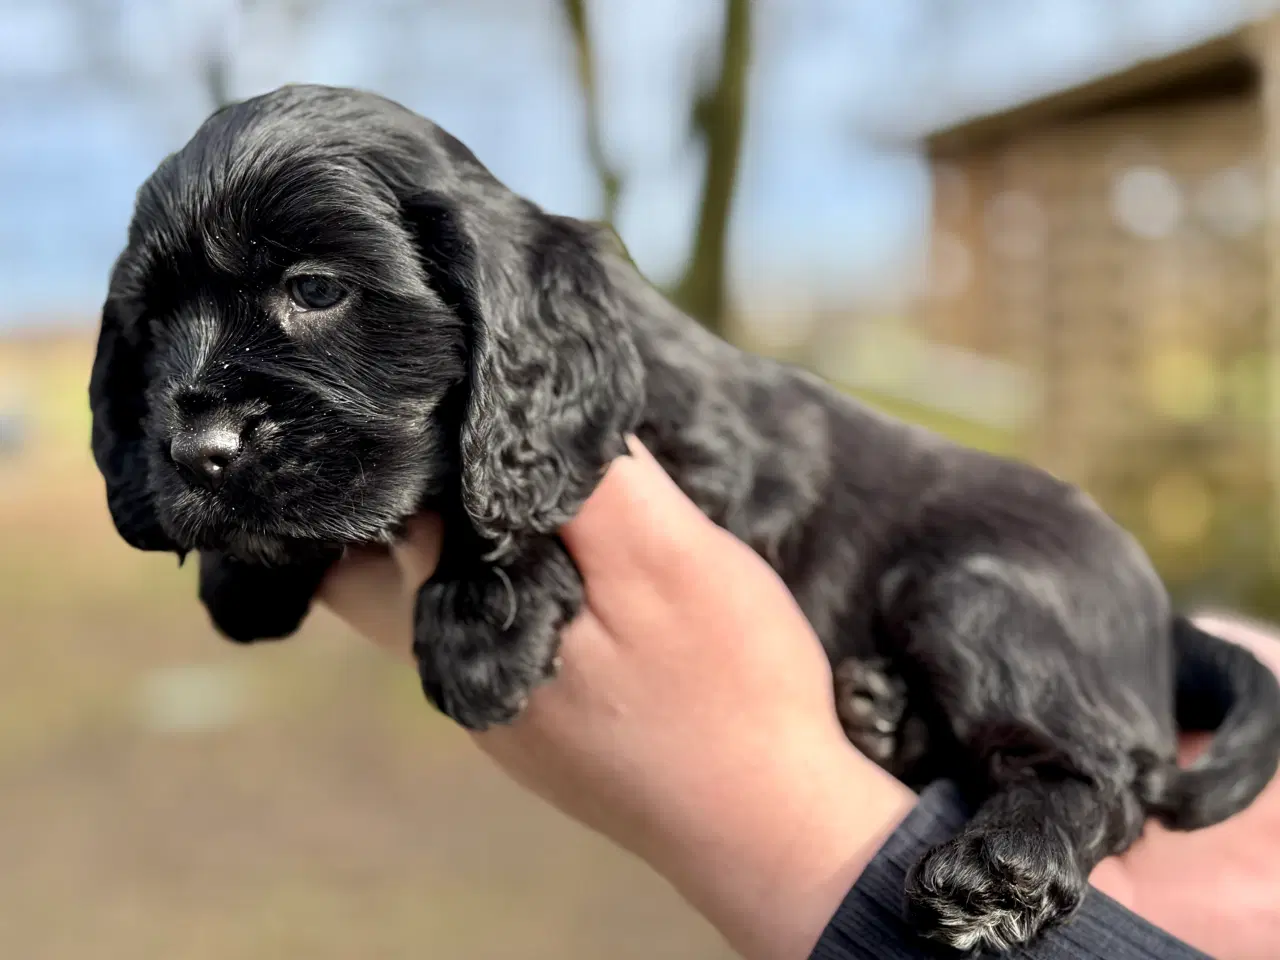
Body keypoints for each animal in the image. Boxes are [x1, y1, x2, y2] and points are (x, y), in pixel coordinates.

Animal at [90, 86, 1280, 957]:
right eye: (150, 324)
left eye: (314, 289)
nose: (197, 454)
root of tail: (1164, 615)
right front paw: (246, 574)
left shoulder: (694, 460)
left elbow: (521, 488)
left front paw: (482, 613)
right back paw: (880, 715)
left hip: (973, 591)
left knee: (1100, 774)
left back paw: (998, 872)